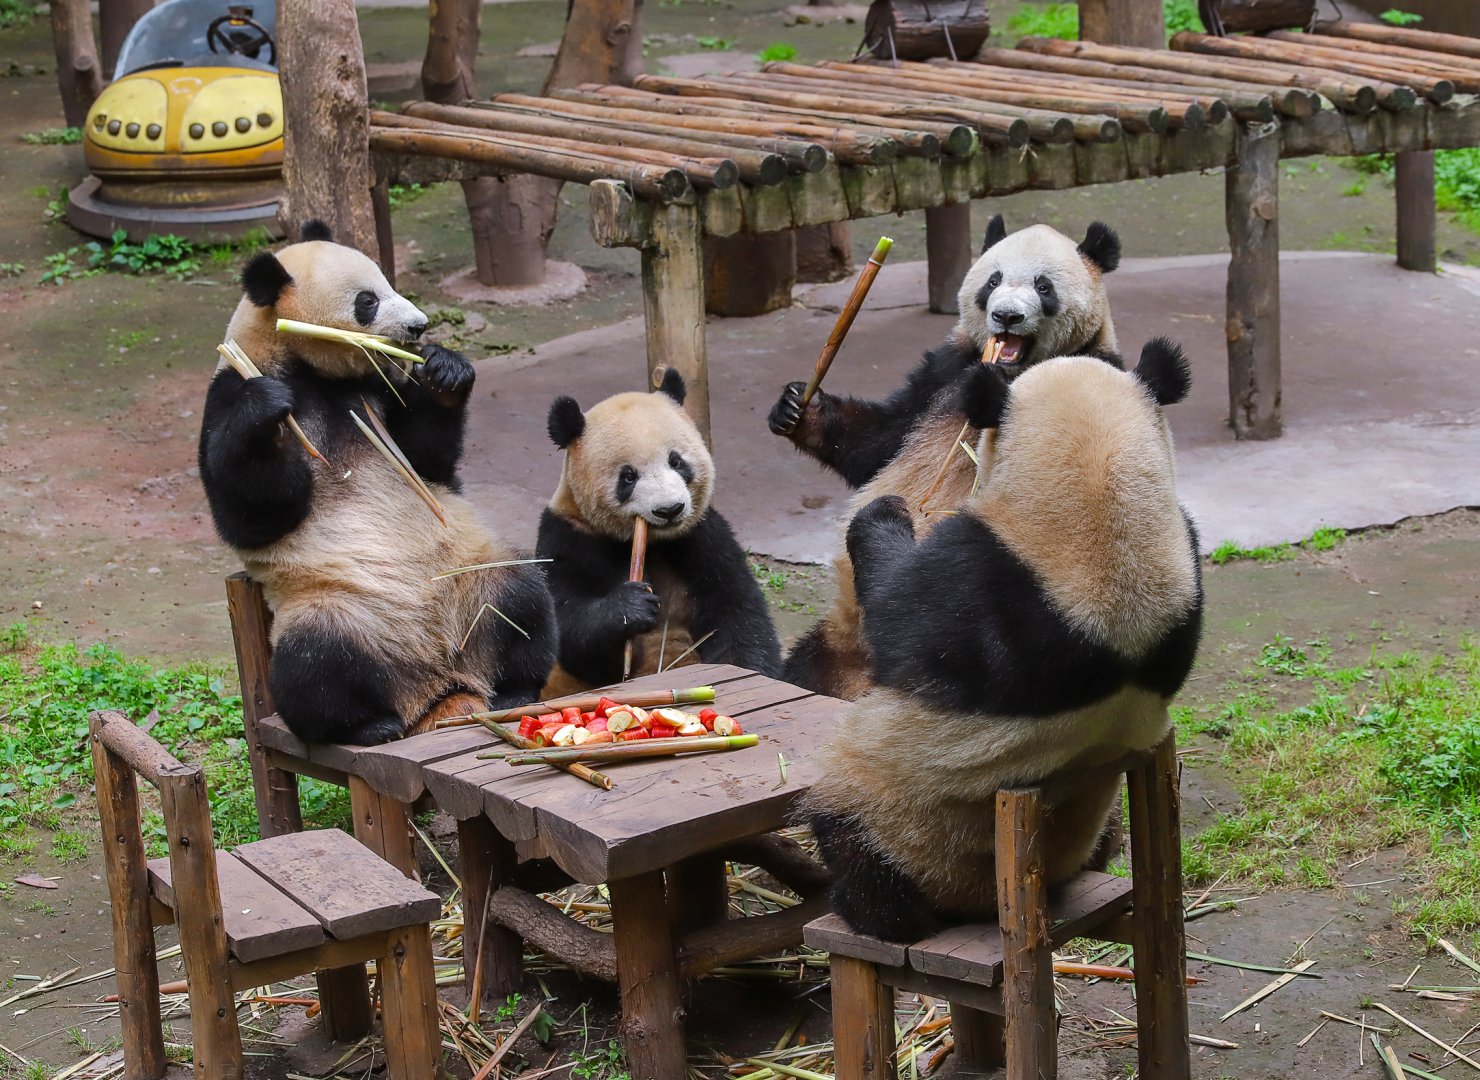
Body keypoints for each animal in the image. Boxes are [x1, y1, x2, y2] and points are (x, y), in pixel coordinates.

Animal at [198, 222, 557, 746]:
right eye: (367, 300)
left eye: (389, 283)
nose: (419, 326)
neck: (307, 368)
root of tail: (436, 684)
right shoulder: (228, 395)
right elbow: (251, 514)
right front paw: (265, 409)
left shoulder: (380, 390)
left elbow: (429, 463)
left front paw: (446, 371)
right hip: (337, 609)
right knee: (315, 664)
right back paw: (368, 725)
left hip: (472, 578)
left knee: (521, 597)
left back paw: (515, 688)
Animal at [537, 370, 783, 692]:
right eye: (628, 477)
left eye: (676, 461)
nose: (669, 510)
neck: (652, 542)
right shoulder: (568, 537)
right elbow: (569, 625)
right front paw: (631, 606)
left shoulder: (702, 536)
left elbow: (738, 612)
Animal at [771, 216, 1124, 700]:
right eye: (993, 280)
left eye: (1044, 286)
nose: (1006, 316)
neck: (1005, 372)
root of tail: (862, 675)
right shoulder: (944, 372)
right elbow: (880, 442)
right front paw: (797, 409)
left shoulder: (1092, 377)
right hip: (831, 644)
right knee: (801, 667)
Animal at [797, 339, 1203, 943]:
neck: (1105, 498)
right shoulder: (1185, 571)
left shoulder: (977, 583)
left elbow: (898, 618)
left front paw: (885, 513)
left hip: (903, 812)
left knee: (855, 833)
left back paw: (870, 907)